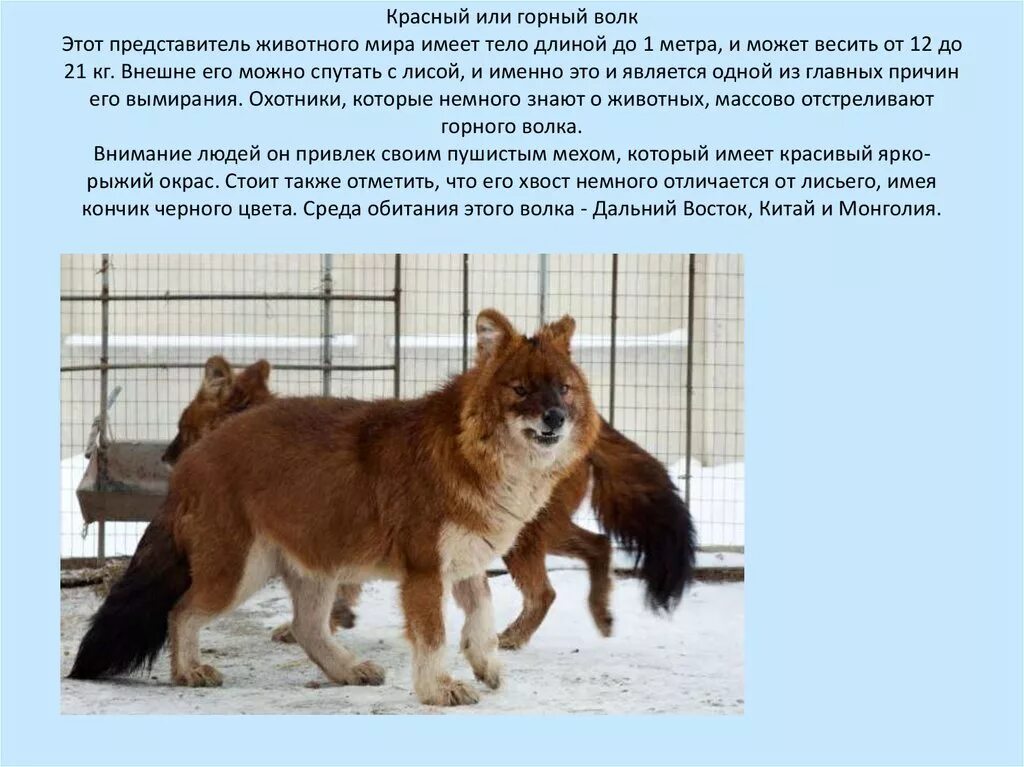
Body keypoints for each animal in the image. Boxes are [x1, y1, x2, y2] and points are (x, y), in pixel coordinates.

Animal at [70, 310, 602, 705]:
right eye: (521, 389)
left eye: (563, 388)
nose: (555, 417)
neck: (481, 461)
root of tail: (191, 461)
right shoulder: (424, 570)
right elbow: (432, 637)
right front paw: (439, 689)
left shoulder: (468, 562)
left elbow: (483, 617)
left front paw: (487, 663)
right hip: (240, 570)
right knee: (180, 612)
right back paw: (189, 672)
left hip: (314, 567)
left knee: (307, 628)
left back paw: (348, 670)